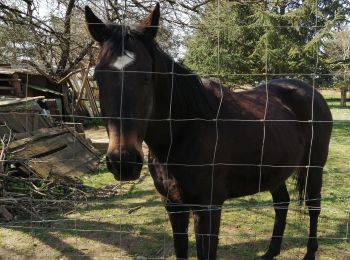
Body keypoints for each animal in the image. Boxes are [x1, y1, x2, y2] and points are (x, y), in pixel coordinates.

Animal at [84, 4, 330, 260]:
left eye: (146, 77)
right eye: (98, 77)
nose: (124, 162)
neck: (183, 132)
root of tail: (310, 91)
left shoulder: (207, 209)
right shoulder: (174, 205)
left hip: (314, 168)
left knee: (314, 207)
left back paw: (310, 253)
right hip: (275, 172)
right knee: (282, 204)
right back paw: (270, 252)